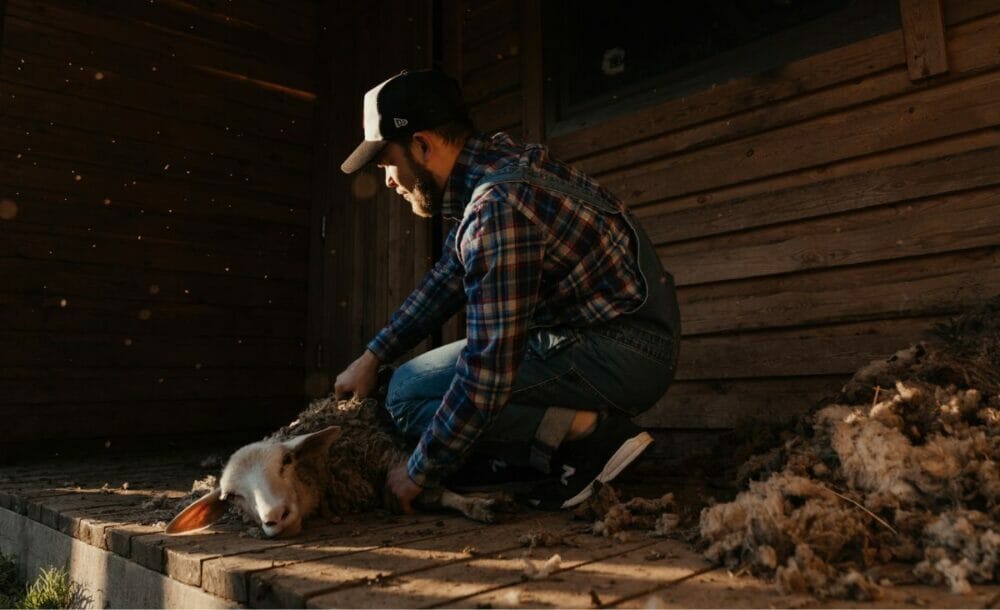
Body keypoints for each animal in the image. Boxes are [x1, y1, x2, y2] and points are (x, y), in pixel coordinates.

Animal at [169, 392, 508, 536]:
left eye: (287, 461)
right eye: (232, 497)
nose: (276, 517)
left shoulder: (392, 460)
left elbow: (435, 491)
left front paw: (479, 505)